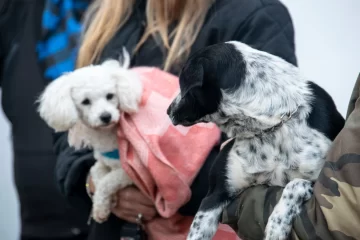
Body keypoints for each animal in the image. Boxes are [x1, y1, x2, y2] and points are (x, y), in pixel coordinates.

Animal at [37, 50, 142, 223]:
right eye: (85, 101)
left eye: (110, 96)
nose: (106, 116)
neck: (108, 137)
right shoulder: (103, 162)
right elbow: (96, 173)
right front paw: (103, 205)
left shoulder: (133, 174)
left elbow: (107, 182)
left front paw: (103, 203)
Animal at [167, 41, 344, 240]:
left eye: (183, 85)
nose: (168, 110)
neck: (270, 128)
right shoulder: (215, 194)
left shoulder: (322, 186)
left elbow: (294, 184)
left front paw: (277, 225)